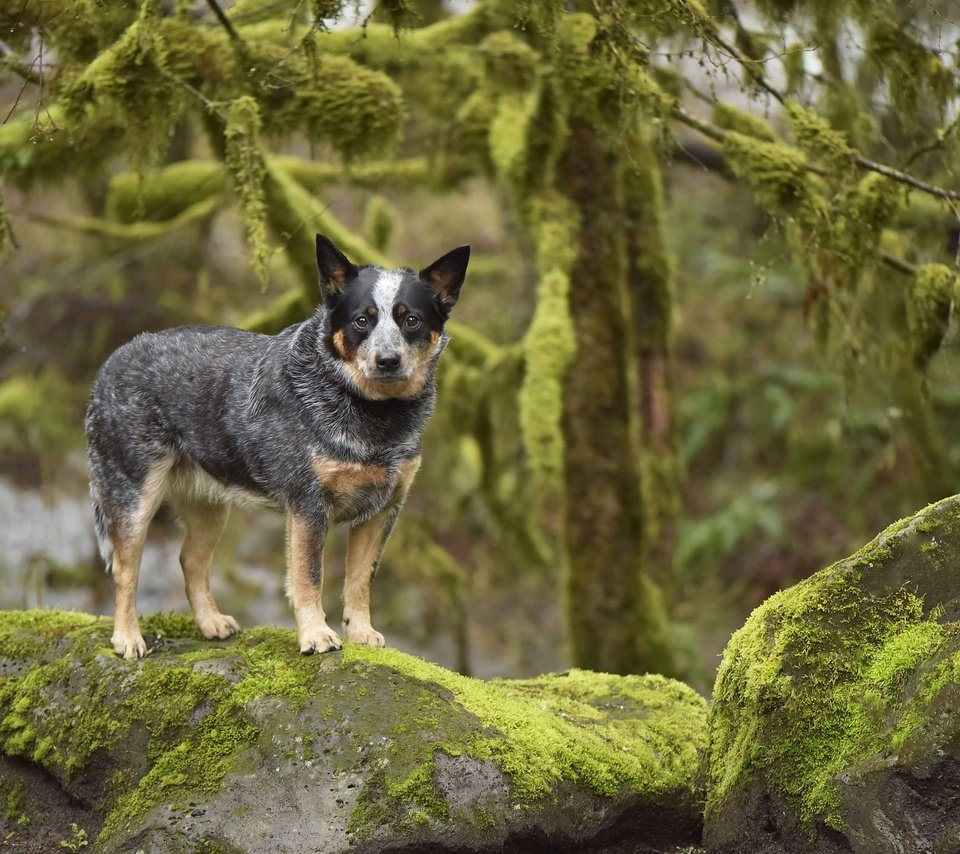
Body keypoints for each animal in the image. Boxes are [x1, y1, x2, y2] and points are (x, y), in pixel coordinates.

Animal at [86, 234, 468, 664]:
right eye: (362, 320)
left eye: (411, 319)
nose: (387, 360)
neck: (375, 419)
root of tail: (111, 362)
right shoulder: (308, 506)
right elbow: (309, 577)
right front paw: (316, 635)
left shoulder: (384, 510)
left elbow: (360, 579)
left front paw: (361, 632)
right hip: (134, 496)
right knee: (125, 569)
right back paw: (127, 638)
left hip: (209, 506)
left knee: (191, 560)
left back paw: (211, 623)